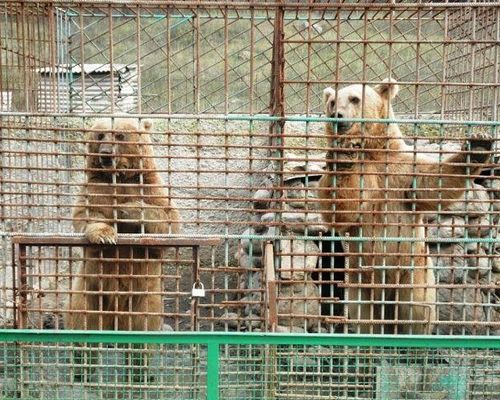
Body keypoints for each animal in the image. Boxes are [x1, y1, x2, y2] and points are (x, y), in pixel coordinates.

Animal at [65, 118, 181, 332]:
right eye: (100, 135)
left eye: (120, 135)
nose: (105, 153)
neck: (119, 176)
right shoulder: (96, 189)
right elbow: (86, 216)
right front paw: (105, 235)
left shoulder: (150, 188)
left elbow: (169, 221)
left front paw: (126, 209)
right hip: (88, 291)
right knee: (82, 319)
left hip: (146, 299)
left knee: (143, 326)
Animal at [320, 79, 492, 334]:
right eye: (332, 101)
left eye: (354, 98)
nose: (336, 116)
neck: (372, 151)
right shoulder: (365, 178)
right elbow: (342, 209)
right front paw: (342, 156)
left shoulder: (402, 171)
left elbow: (435, 182)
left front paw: (478, 145)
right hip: (360, 282)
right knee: (366, 317)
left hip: (414, 272)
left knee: (417, 310)